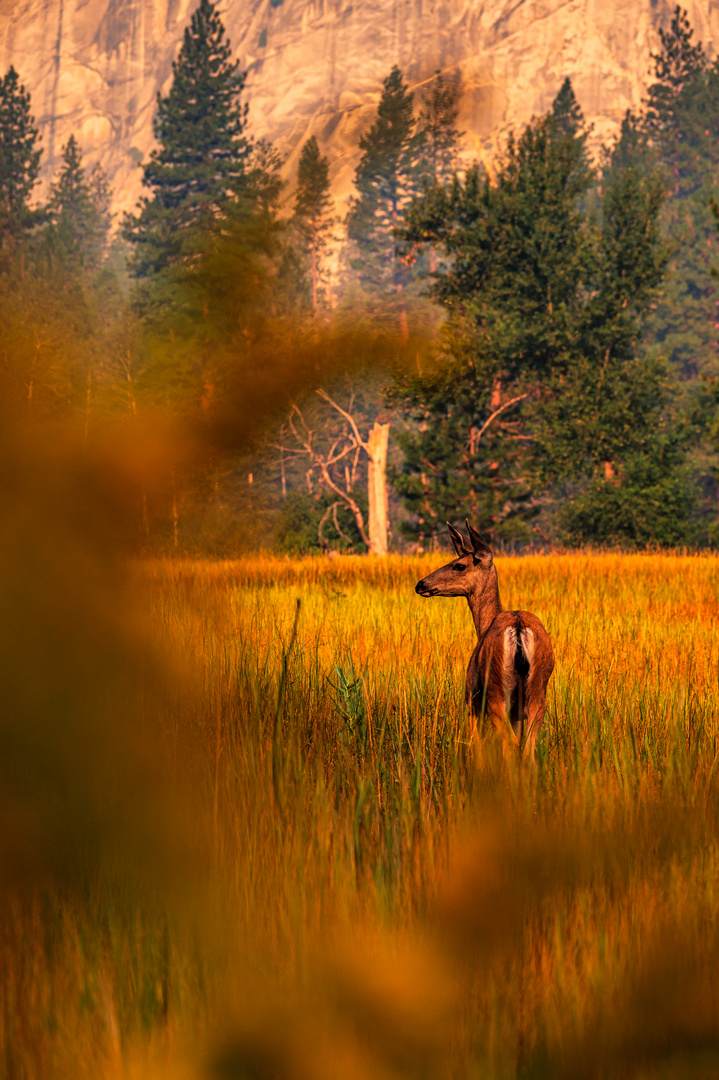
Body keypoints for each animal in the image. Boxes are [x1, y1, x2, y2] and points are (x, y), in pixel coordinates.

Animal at [412, 520, 550, 760]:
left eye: (459, 565)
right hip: (537, 692)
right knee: (528, 748)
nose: (421, 584)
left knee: (510, 744)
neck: (483, 627)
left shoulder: (471, 700)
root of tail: (518, 627)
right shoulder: (516, 714)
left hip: (495, 691)